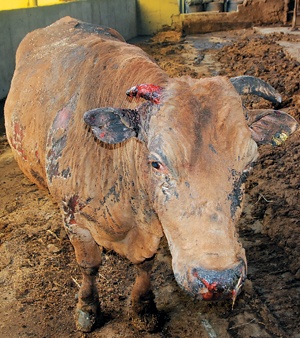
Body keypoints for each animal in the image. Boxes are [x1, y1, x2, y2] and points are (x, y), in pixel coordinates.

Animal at [4, 17, 298, 332]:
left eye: (249, 166)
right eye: (156, 163)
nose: (219, 280)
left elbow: (145, 265)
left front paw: (143, 307)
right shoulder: (75, 220)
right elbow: (89, 265)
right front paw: (87, 308)